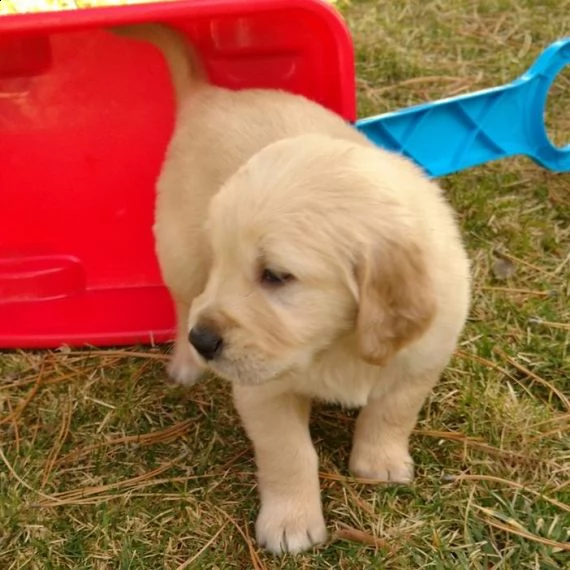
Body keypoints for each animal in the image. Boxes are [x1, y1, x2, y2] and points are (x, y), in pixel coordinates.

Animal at [113, 24, 468, 552]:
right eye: (224, 258)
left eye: (276, 276)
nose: (205, 341)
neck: (337, 343)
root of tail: (210, 94)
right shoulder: (262, 392)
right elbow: (290, 454)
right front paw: (291, 524)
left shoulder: (423, 359)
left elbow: (392, 412)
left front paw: (380, 462)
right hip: (178, 250)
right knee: (183, 303)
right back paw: (185, 362)